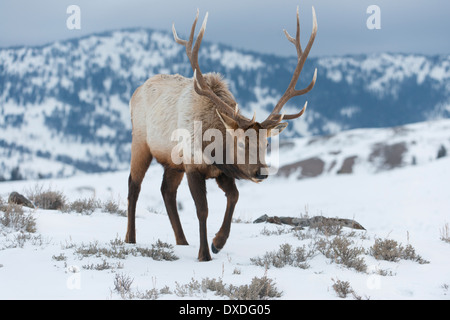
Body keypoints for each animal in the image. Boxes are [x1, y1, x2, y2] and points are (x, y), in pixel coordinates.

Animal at [125, 6, 318, 260]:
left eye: (266, 144)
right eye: (240, 143)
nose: (261, 172)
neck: (212, 147)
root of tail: (136, 90)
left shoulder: (220, 171)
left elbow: (234, 197)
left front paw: (218, 242)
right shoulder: (192, 165)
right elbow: (202, 209)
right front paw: (204, 254)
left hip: (172, 162)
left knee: (167, 191)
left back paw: (182, 241)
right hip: (140, 142)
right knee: (134, 185)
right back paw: (130, 238)